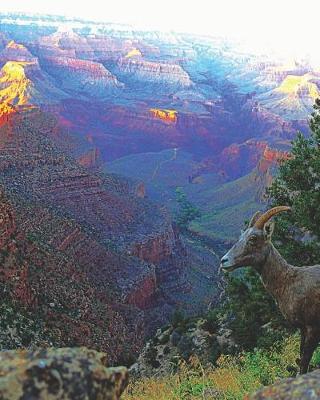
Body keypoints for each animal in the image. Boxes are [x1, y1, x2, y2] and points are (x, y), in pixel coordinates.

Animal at [221, 206, 320, 376]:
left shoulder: (313, 327)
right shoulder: (303, 329)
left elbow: (304, 363)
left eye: (253, 238)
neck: (289, 282)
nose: (224, 261)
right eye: (241, 237)